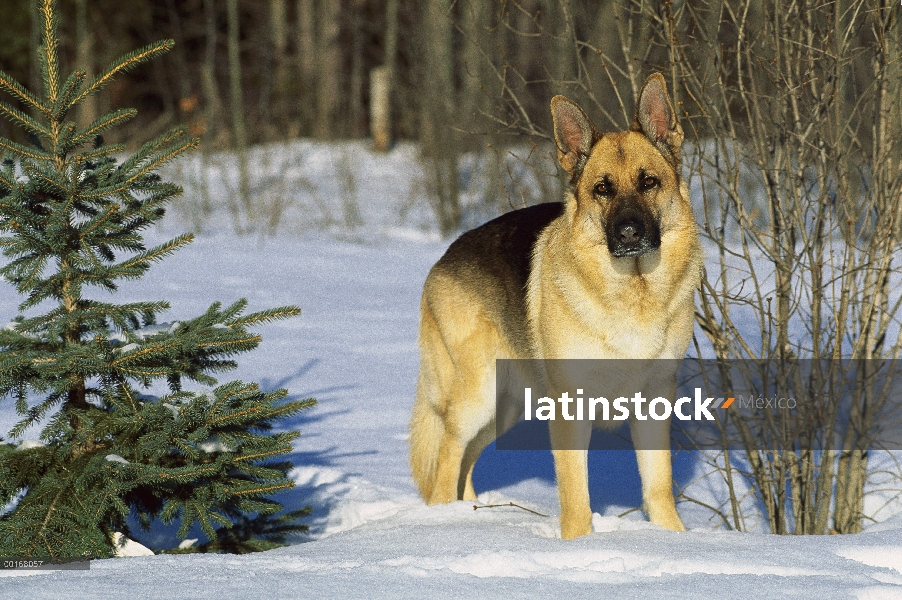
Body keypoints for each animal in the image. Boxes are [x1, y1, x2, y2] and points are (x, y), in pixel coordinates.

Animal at [412, 74, 708, 540]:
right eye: (602, 188)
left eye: (649, 183)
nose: (629, 233)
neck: (633, 291)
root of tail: (444, 257)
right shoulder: (571, 410)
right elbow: (576, 496)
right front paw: (577, 544)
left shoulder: (654, 404)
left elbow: (658, 485)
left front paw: (671, 538)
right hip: (477, 396)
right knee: (447, 459)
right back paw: (445, 521)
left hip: (506, 407)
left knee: (466, 463)